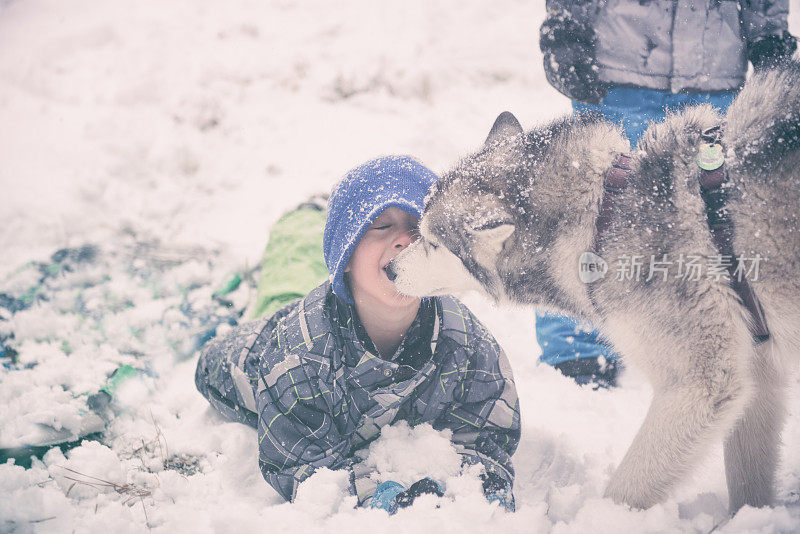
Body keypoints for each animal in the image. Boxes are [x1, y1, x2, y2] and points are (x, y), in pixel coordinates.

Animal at [390, 60, 800, 512]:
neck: (605, 217)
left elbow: (624, 490)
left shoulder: (698, 386)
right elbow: (748, 485)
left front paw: (598, 518)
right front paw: (745, 518)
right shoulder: (757, 373)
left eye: (432, 243)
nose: (390, 269)